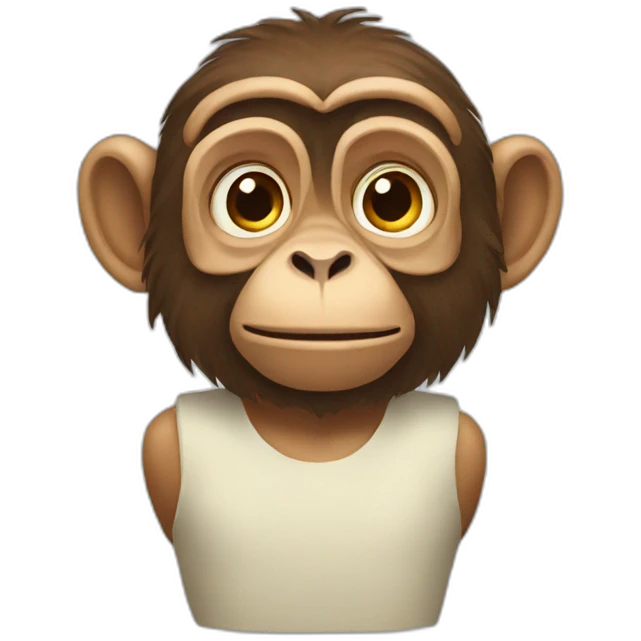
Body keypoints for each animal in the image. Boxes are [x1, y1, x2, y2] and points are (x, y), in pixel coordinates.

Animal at [76, 6, 564, 635]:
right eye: (250, 200)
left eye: (391, 199)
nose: (323, 260)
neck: (317, 434)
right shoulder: (162, 437)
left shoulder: (469, 440)